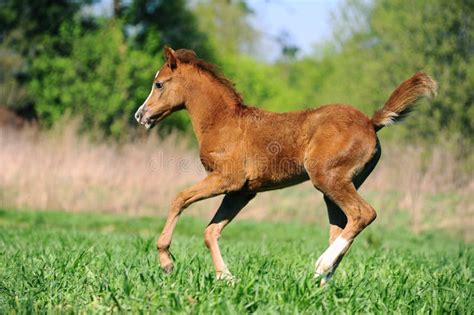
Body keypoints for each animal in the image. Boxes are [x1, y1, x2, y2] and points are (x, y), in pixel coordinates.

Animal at [134, 47, 436, 286]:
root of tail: (372, 122)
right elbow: (211, 231)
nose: (140, 115)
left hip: (328, 179)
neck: (222, 122)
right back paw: (321, 282)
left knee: (364, 214)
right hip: (337, 188)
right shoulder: (242, 192)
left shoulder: (226, 179)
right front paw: (226, 277)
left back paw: (321, 265)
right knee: (342, 227)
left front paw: (166, 261)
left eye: (158, 84)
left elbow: (179, 199)